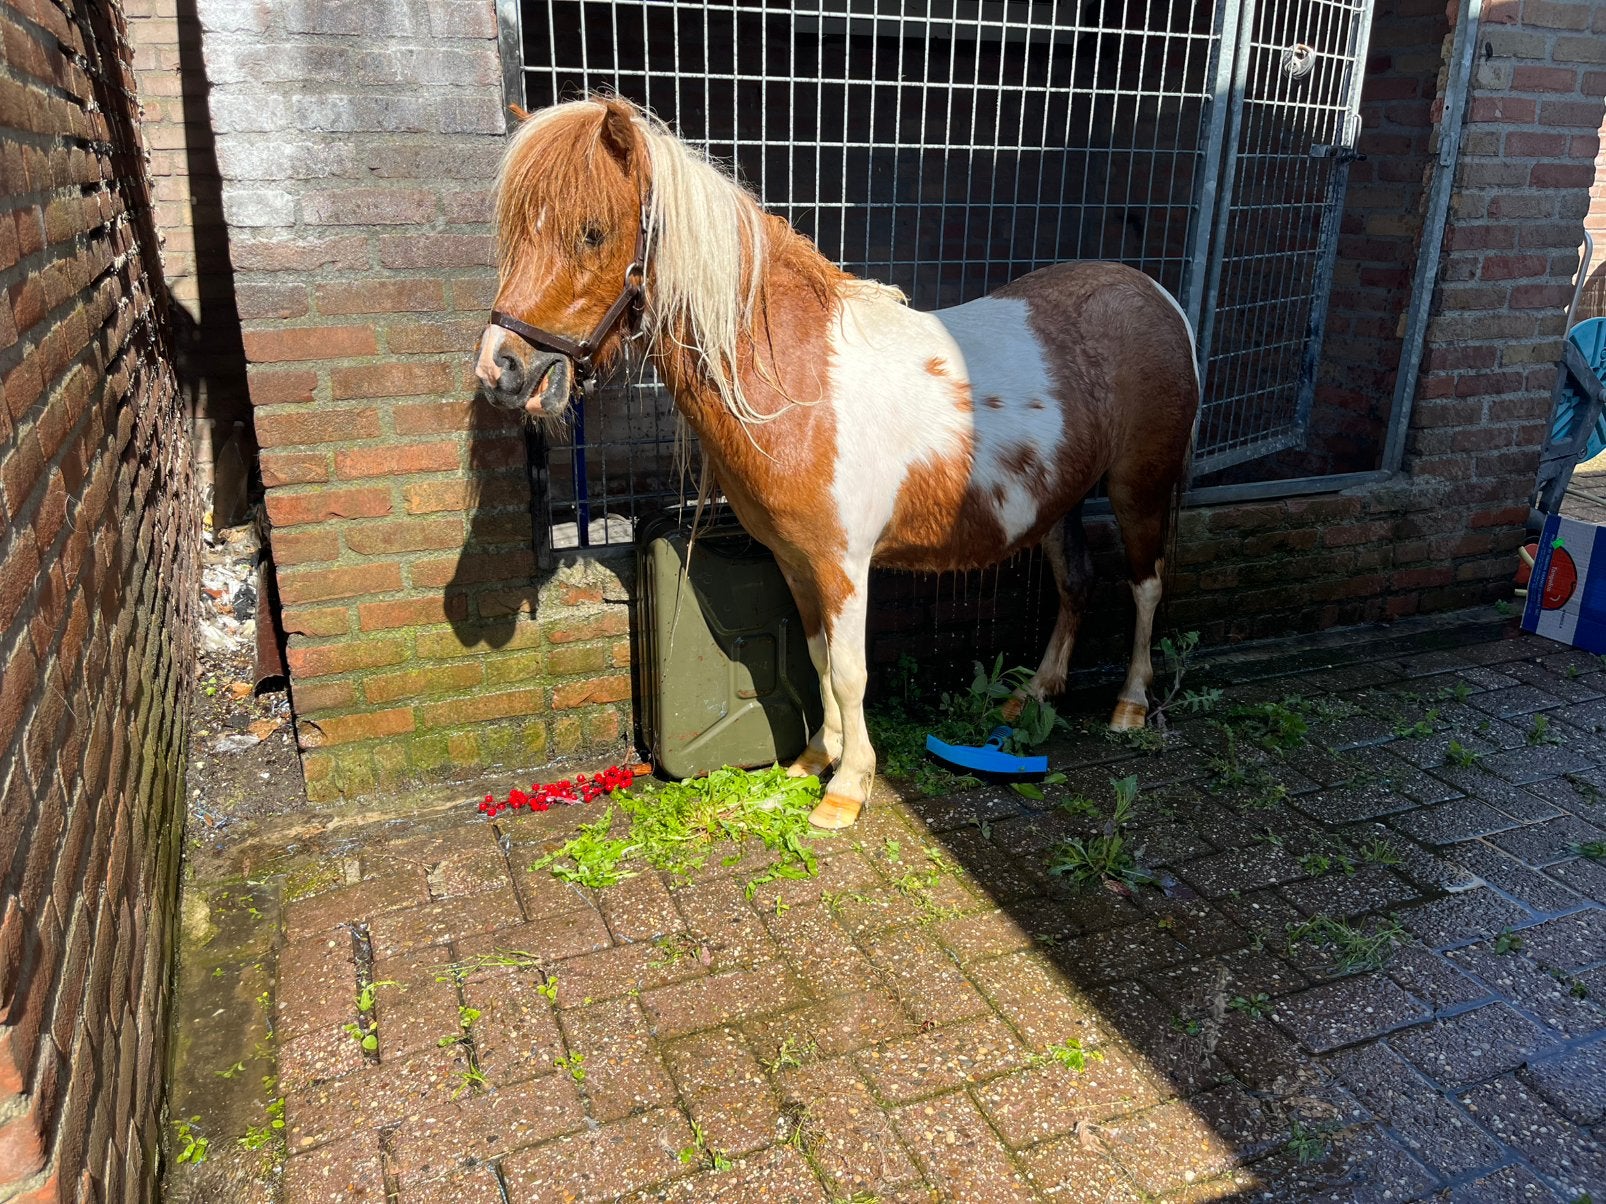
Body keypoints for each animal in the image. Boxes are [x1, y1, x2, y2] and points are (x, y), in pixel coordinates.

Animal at [476, 96, 1200, 831]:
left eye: (592, 233)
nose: (502, 370)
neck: (796, 380)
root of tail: (1156, 295)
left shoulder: (843, 565)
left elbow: (851, 673)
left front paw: (848, 789)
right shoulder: (796, 561)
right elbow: (820, 660)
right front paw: (812, 761)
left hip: (1138, 488)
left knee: (1144, 587)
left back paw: (1129, 705)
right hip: (1059, 502)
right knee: (1076, 583)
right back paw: (1034, 696)